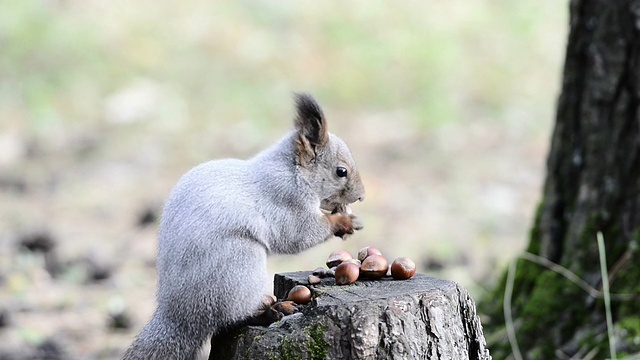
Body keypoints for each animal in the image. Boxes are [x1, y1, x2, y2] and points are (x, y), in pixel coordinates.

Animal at [124, 93, 364, 360]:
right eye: (341, 171)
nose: (361, 196)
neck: (293, 171)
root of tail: (179, 317)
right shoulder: (284, 199)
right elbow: (298, 233)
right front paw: (343, 222)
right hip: (238, 267)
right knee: (231, 318)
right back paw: (271, 311)